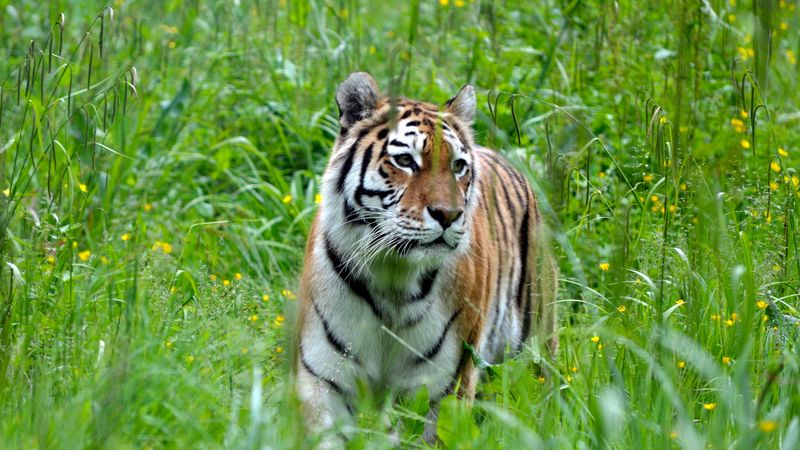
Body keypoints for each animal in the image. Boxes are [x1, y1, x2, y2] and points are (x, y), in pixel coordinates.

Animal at [294, 72, 558, 445]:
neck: (391, 276)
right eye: (405, 161)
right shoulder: (324, 377)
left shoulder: (442, 385)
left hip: (536, 346)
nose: (448, 214)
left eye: (458, 166)